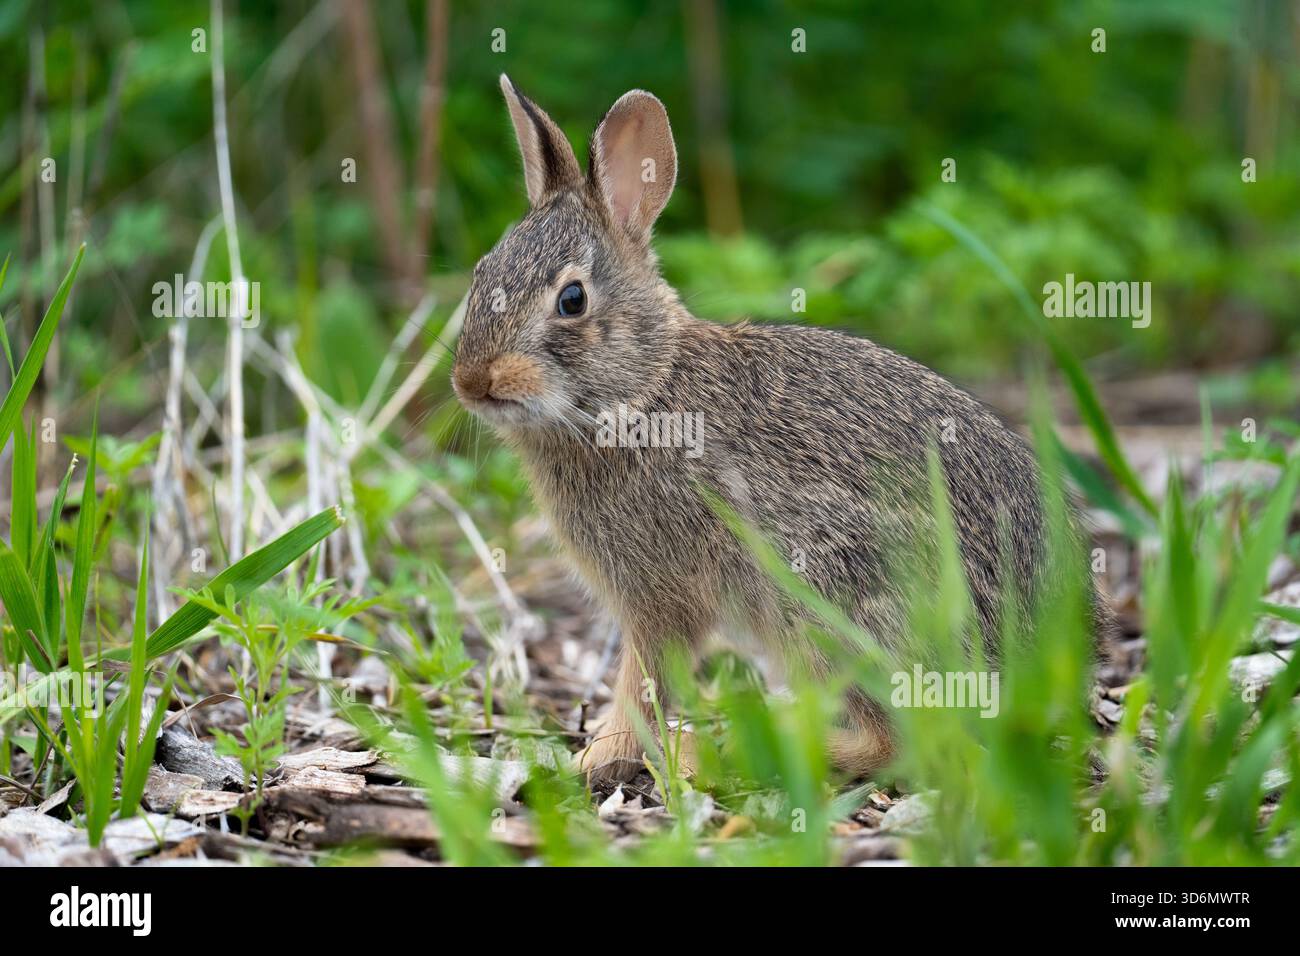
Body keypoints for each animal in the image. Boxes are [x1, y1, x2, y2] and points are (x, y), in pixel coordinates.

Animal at [452, 75, 1110, 786]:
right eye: (481, 271)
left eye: (571, 300)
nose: (473, 380)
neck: (645, 389)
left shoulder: (660, 593)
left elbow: (645, 681)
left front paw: (598, 756)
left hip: (830, 598)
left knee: (899, 742)